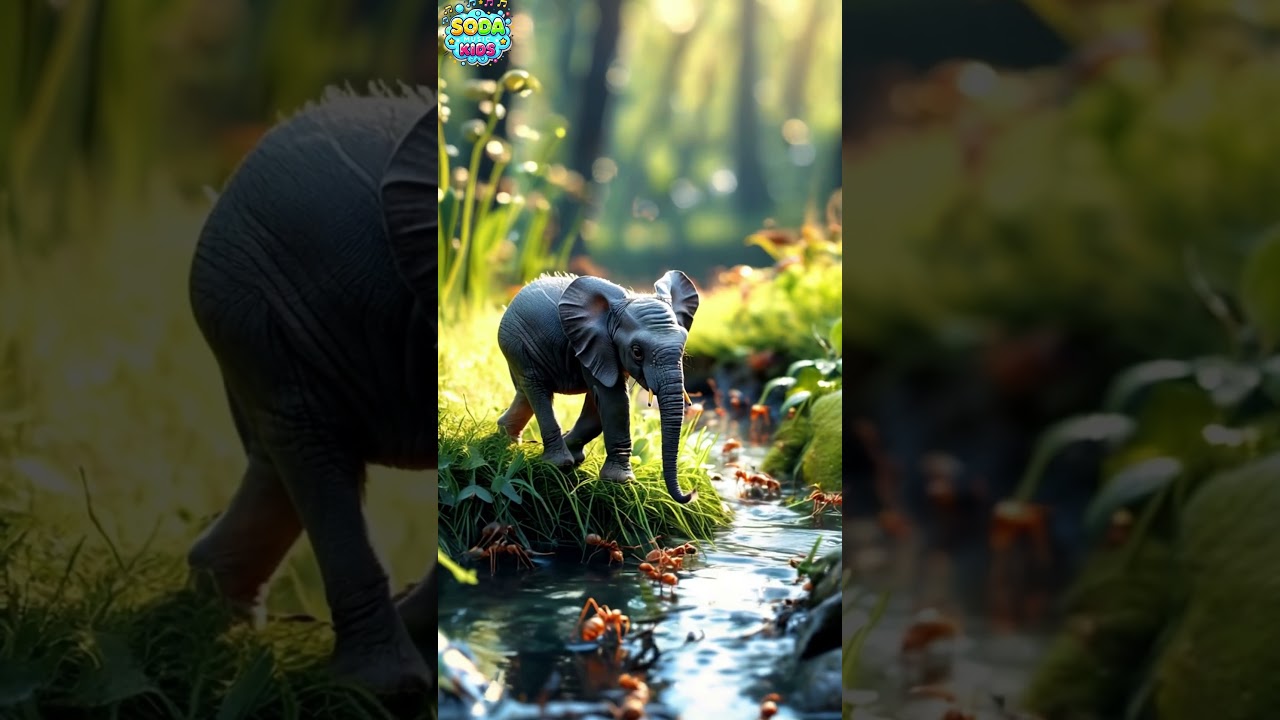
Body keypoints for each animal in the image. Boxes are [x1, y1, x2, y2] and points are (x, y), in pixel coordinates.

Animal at [495, 271, 701, 504]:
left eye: (683, 344)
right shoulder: (593, 344)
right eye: (637, 352)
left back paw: (506, 436)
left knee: (525, 392)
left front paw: (576, 452)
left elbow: (598, 406)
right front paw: (621, 481)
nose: (692, 492)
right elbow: (613, 400)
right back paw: (558, 463)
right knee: (536, 389)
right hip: (517, 344)